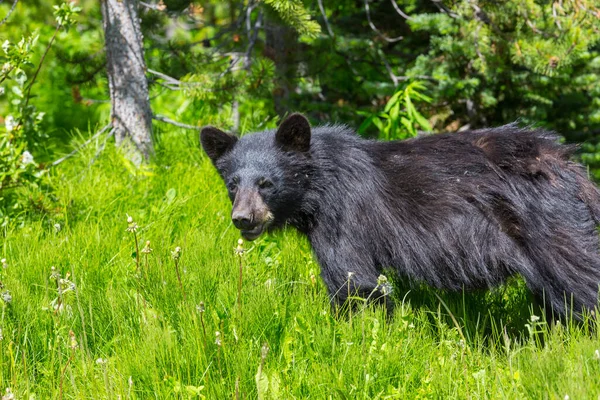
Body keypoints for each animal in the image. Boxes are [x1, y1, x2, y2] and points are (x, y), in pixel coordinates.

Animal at [200, 112, 600, 316]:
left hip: (546, 224)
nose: (243, 218)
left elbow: (353, 280)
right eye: (233, 183)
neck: (319, 184)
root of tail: (568, 163)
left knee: (580, 274)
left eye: (267, 183)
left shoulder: (345, 215)